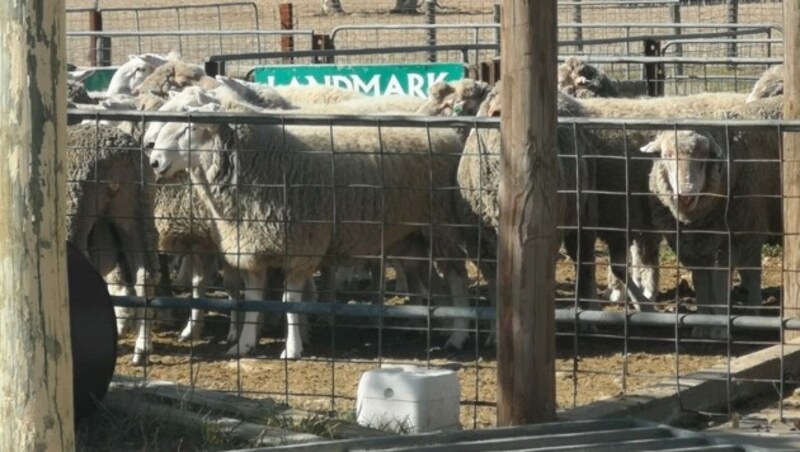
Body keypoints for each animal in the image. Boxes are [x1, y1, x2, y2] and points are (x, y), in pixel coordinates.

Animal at [147, 105, 466, 356]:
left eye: (189, 129)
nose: (154, 162)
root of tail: (447, 135)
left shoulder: (300, 249)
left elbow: (290, 304)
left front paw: (292, 349)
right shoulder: (252, 249)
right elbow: (253, 301)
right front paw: (244, 344)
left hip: (443, 226)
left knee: (456, 278)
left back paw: (458, 335)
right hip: (411, 238)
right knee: (429, 280)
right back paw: (435, 326)